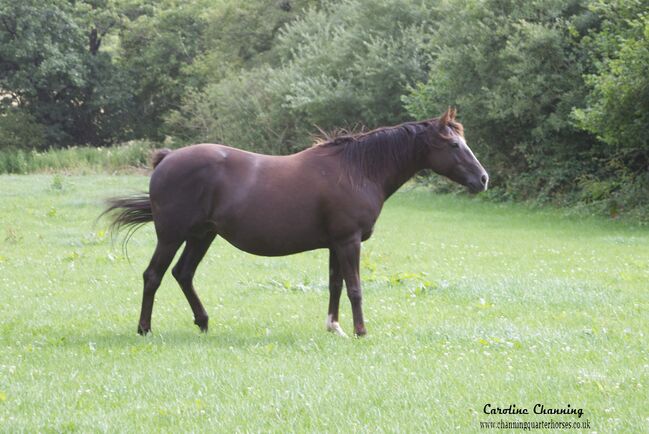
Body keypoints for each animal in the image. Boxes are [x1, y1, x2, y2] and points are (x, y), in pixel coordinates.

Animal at [102, 107, 486, 336]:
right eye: (454, 144)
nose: (483, 179)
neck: (357, 169)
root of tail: (167, 159)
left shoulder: (336, 243)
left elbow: (335, 286)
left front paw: (335, 327)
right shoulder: (349, 241)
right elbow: (355, 288)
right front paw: (361, 331)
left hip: (202, 236)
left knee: (183, 274)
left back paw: (203, 321)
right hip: (172, 236)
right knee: (153, 276)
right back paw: (144, 328)